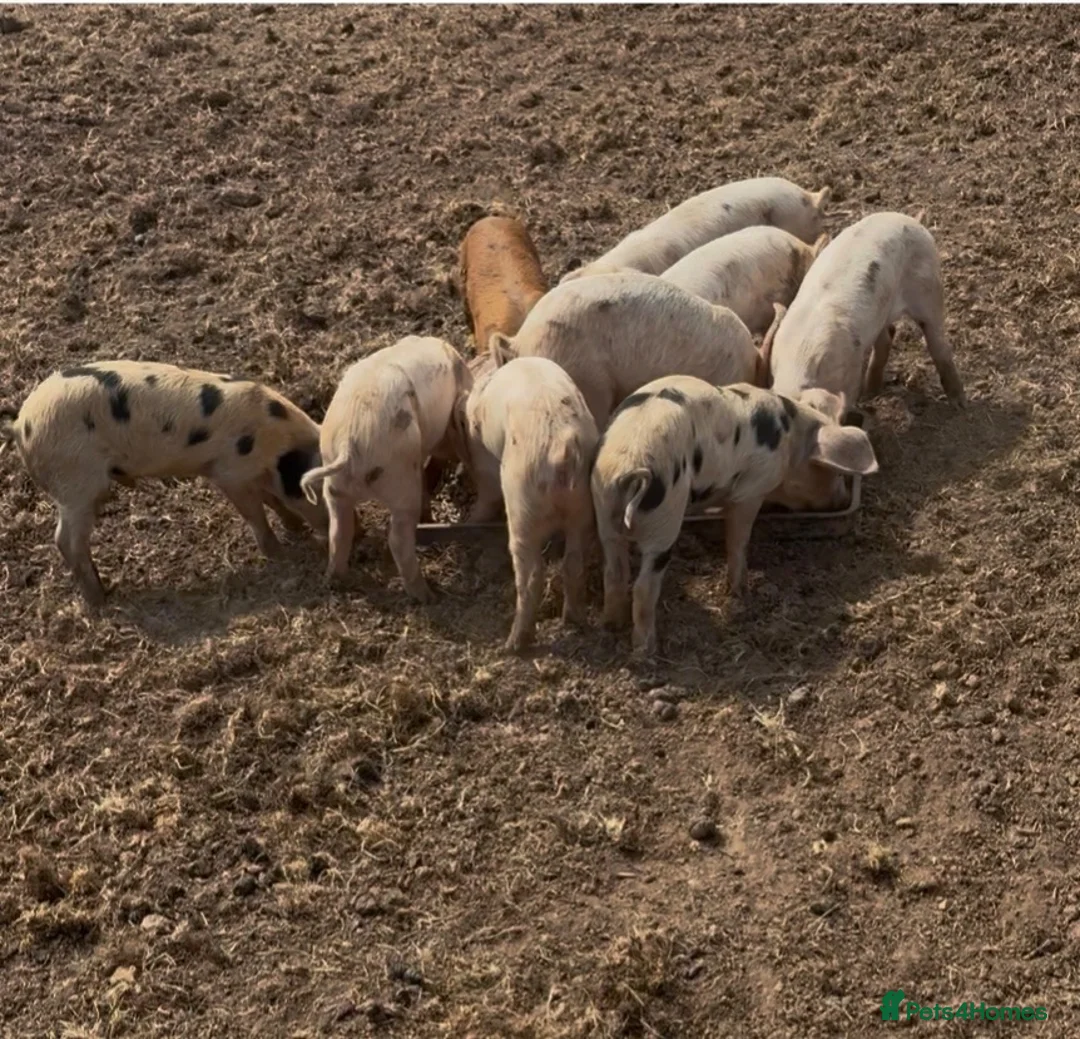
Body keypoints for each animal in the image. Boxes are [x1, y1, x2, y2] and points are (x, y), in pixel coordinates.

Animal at [0, 360, 328, 607]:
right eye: (323, 496)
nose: (333, 534)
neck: (276, 447)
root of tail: (20, 425)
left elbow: (272, 499)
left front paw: (296, 530)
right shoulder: (227, 472)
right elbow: (255, 512)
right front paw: (281, 554)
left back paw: (107, 588)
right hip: (75, 484)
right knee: (65, 540)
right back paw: (101, 600)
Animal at [299, 335, 471, 603]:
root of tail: (349, 442)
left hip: (335, 488)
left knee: (339, 531)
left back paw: (335, 581)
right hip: (400, 478)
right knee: (398, 539)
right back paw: (427, 595)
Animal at [452, 356, 599, 652]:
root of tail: (564, 451)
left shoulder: (482, 450)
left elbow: (487, 489)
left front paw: (472, 520)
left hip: (522, 502)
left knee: (531, 575)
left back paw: (513, 645)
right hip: (583, 509)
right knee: (574, 562)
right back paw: (574, 621)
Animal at [591, 376, 878, 656]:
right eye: (834, 471)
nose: (842, 500)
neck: (791, 441)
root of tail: (629, 470)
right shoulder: (752, 489)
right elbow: (738, 540)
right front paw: (741, 590)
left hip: (604, 512)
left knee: (614, 572)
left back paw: (611, 625)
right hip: (665, 518)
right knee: (643, 587)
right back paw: (646, 650)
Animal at [763, 211, 966, 511]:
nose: (833, 503)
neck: (801, 363)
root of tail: (909, 219)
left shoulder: (848, 375)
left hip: (929, 288)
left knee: (938, 343)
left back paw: (959, 403)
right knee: (887, 336)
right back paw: (872, 391)